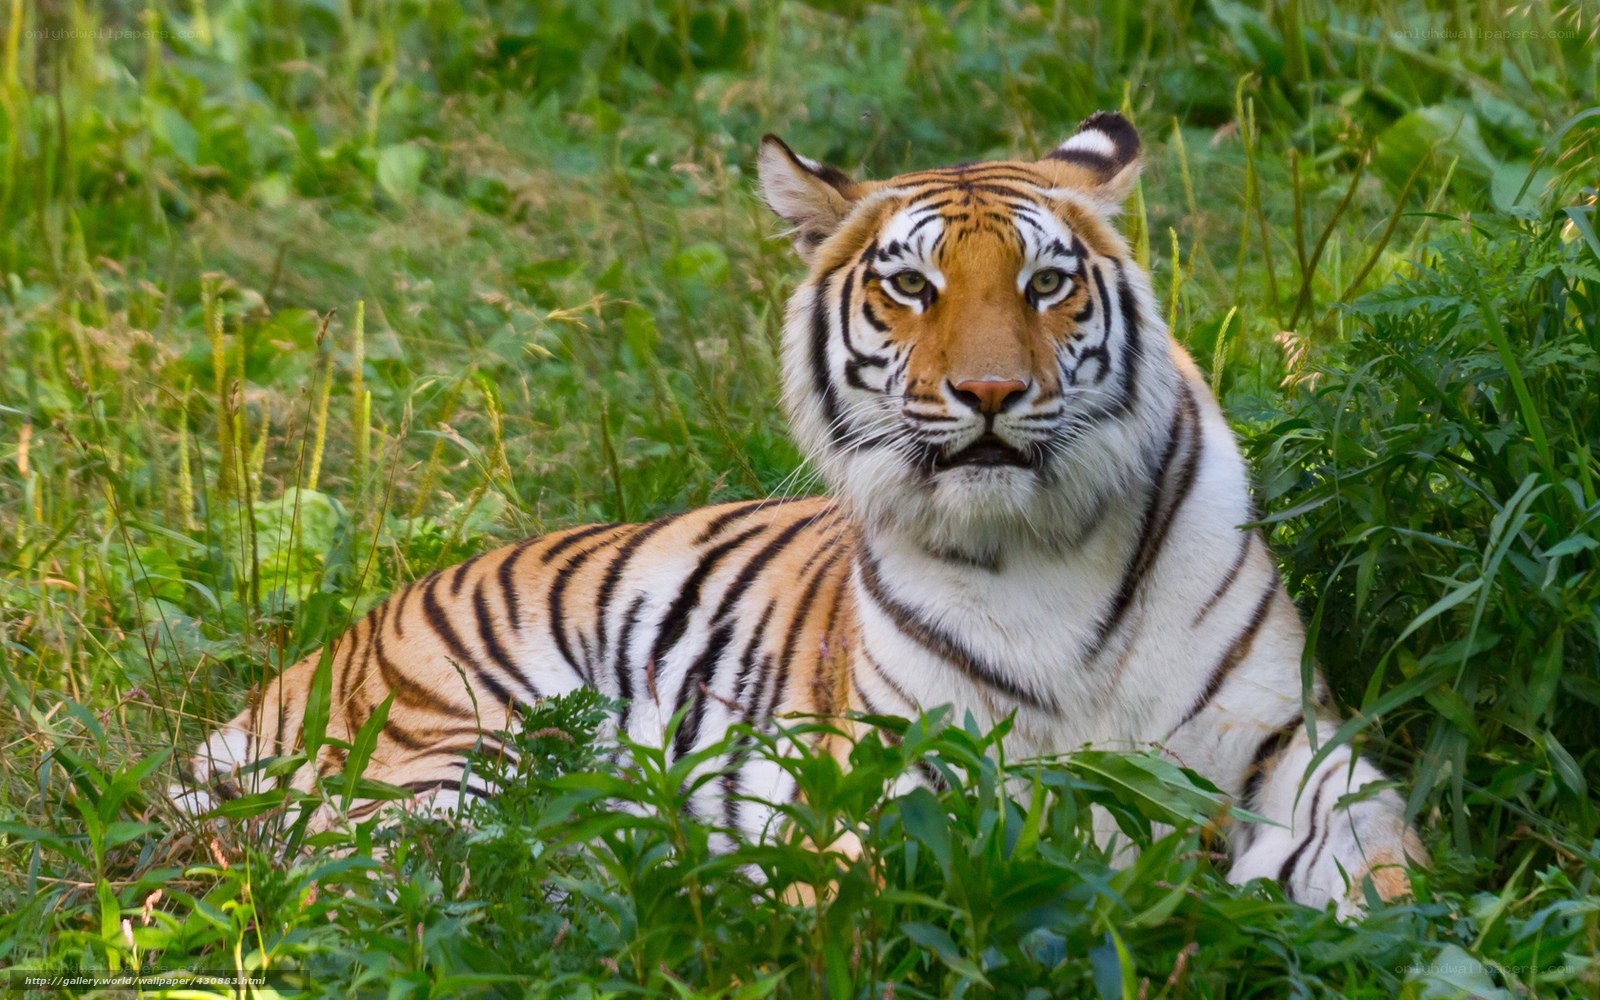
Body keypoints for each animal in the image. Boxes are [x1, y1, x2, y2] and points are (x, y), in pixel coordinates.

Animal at [174, 112, 1424, 917]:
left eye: (1045, 283)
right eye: (911, 286)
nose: (988, 394)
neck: (1044, 546)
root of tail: (332, 644)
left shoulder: (1299, 749)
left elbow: (1388, 875)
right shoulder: (904, 785)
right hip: (450, 762)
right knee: (348, 887)